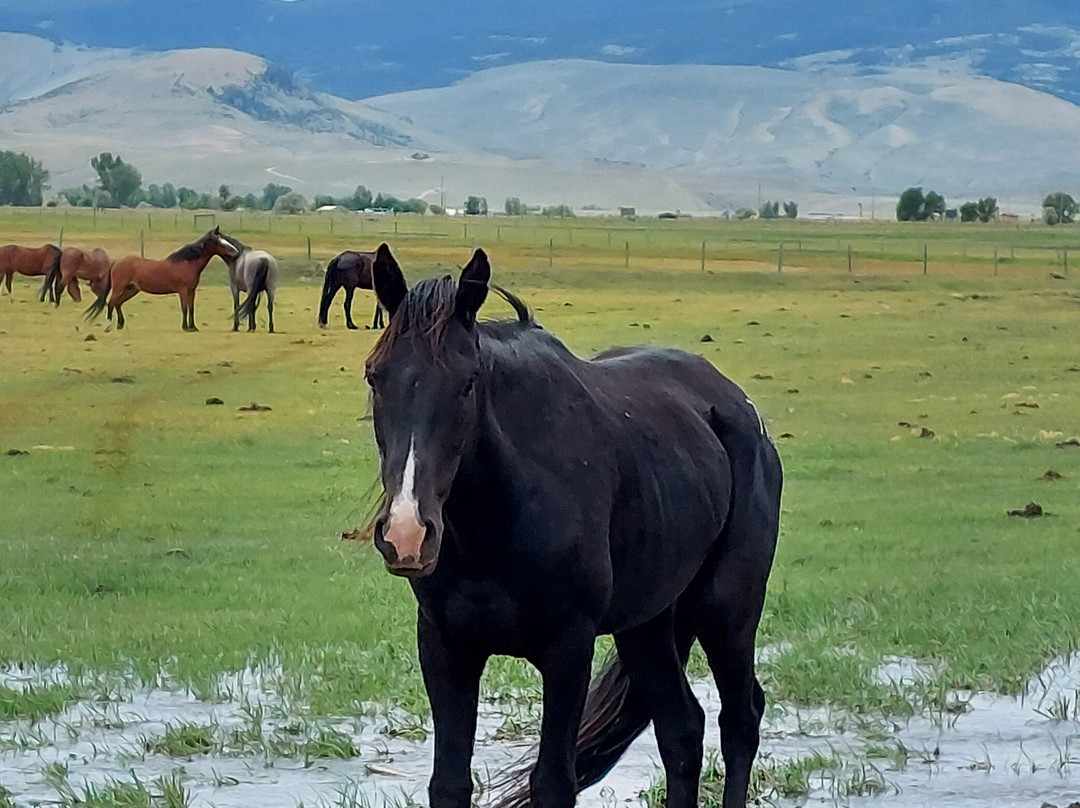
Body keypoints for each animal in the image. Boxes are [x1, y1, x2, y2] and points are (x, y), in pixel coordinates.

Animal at [84, 227, 239, 331]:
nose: (236, 252)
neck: (187, 263)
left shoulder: (191, 291)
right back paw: (109, 325)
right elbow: (184, 308)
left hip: (131, 290)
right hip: (119, 288)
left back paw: (120, 324)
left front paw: (193, 327)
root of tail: (116, 262)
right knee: (111, 303)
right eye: (221, 242)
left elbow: (191, 308)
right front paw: (185, 327)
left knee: (117, 303)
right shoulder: (182, 290)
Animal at [363, 243, 782, 808]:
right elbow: (449, 783)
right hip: (648, 625)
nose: (406, 534)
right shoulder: (446, 647)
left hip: (727, 613)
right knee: (681, 730)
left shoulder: (568, 649)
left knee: (739, 721)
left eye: (468, 382)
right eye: (374, 375)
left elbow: (553, 783)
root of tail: (736, 406)